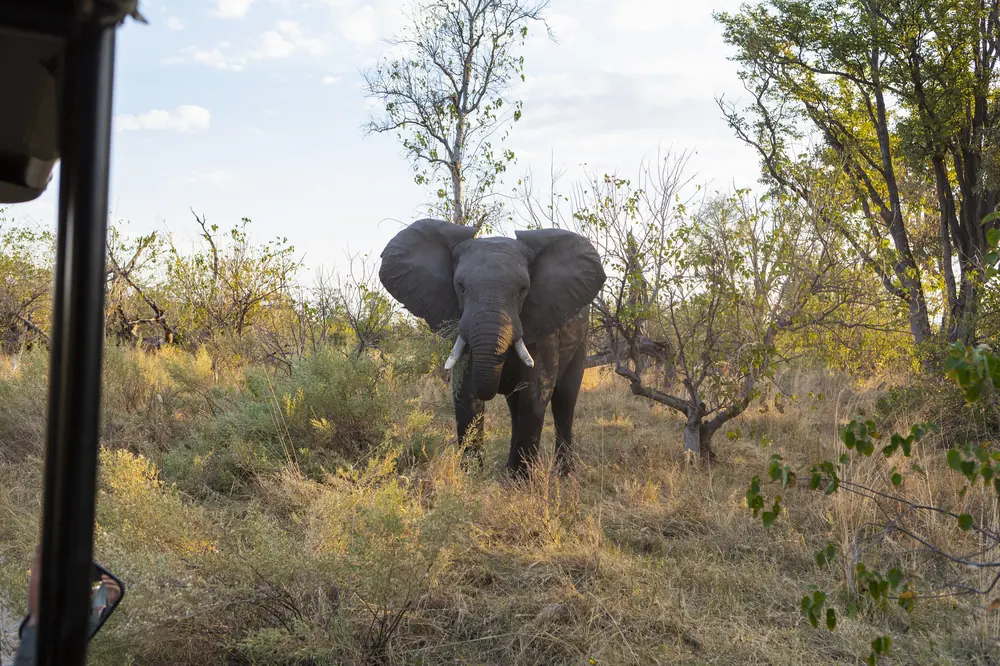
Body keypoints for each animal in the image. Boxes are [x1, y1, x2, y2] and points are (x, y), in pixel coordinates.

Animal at [379, 218, 607, 477]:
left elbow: (535, 394)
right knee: (515, 404)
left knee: (564, 400)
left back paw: (563, 472)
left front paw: (521, 480)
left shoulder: (543, 323)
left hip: (581, 337)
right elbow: (466, 395)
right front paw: (472, 477)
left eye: (523, 289)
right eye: (460, 286)